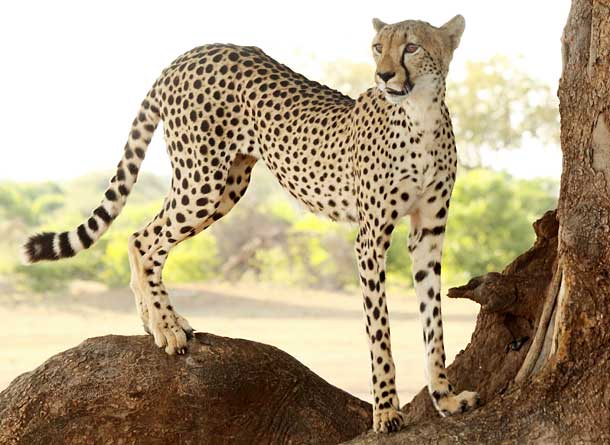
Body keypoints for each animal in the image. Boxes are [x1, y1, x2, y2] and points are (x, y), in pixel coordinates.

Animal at [22, 14, 476, 434]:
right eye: (377, 47)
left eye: (411, 47)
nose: (383, 75)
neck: (420, 115)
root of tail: (192, 53)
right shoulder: (370, 239)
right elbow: (379, 333)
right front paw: (385, 410)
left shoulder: (428, 235)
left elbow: (433, 323)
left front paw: (445, 398)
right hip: (202, 181)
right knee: (143, 240)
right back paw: (166, 327)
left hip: (226, 186)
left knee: (143, 235)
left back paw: (155, 322)